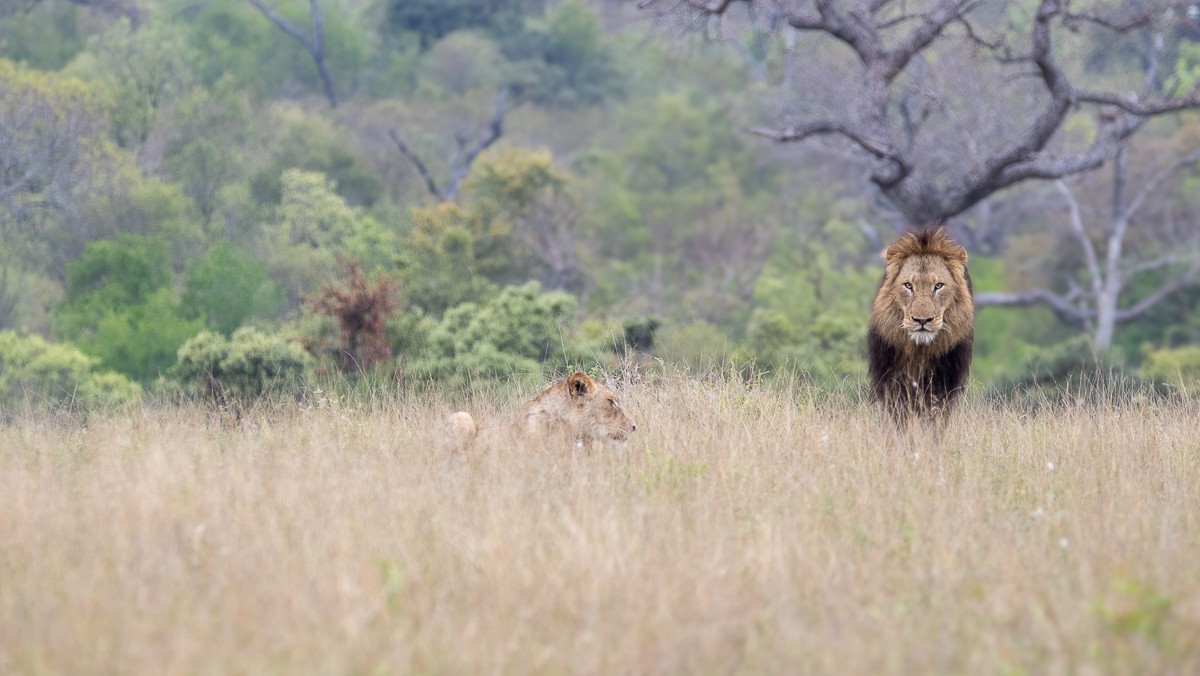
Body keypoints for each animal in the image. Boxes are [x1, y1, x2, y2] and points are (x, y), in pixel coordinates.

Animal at [867, 227, 974, 425]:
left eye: (938, 286)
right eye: (908, 285)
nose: (922, 320)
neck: (920, 350)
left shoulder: (944, 384)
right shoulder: (890, 382)